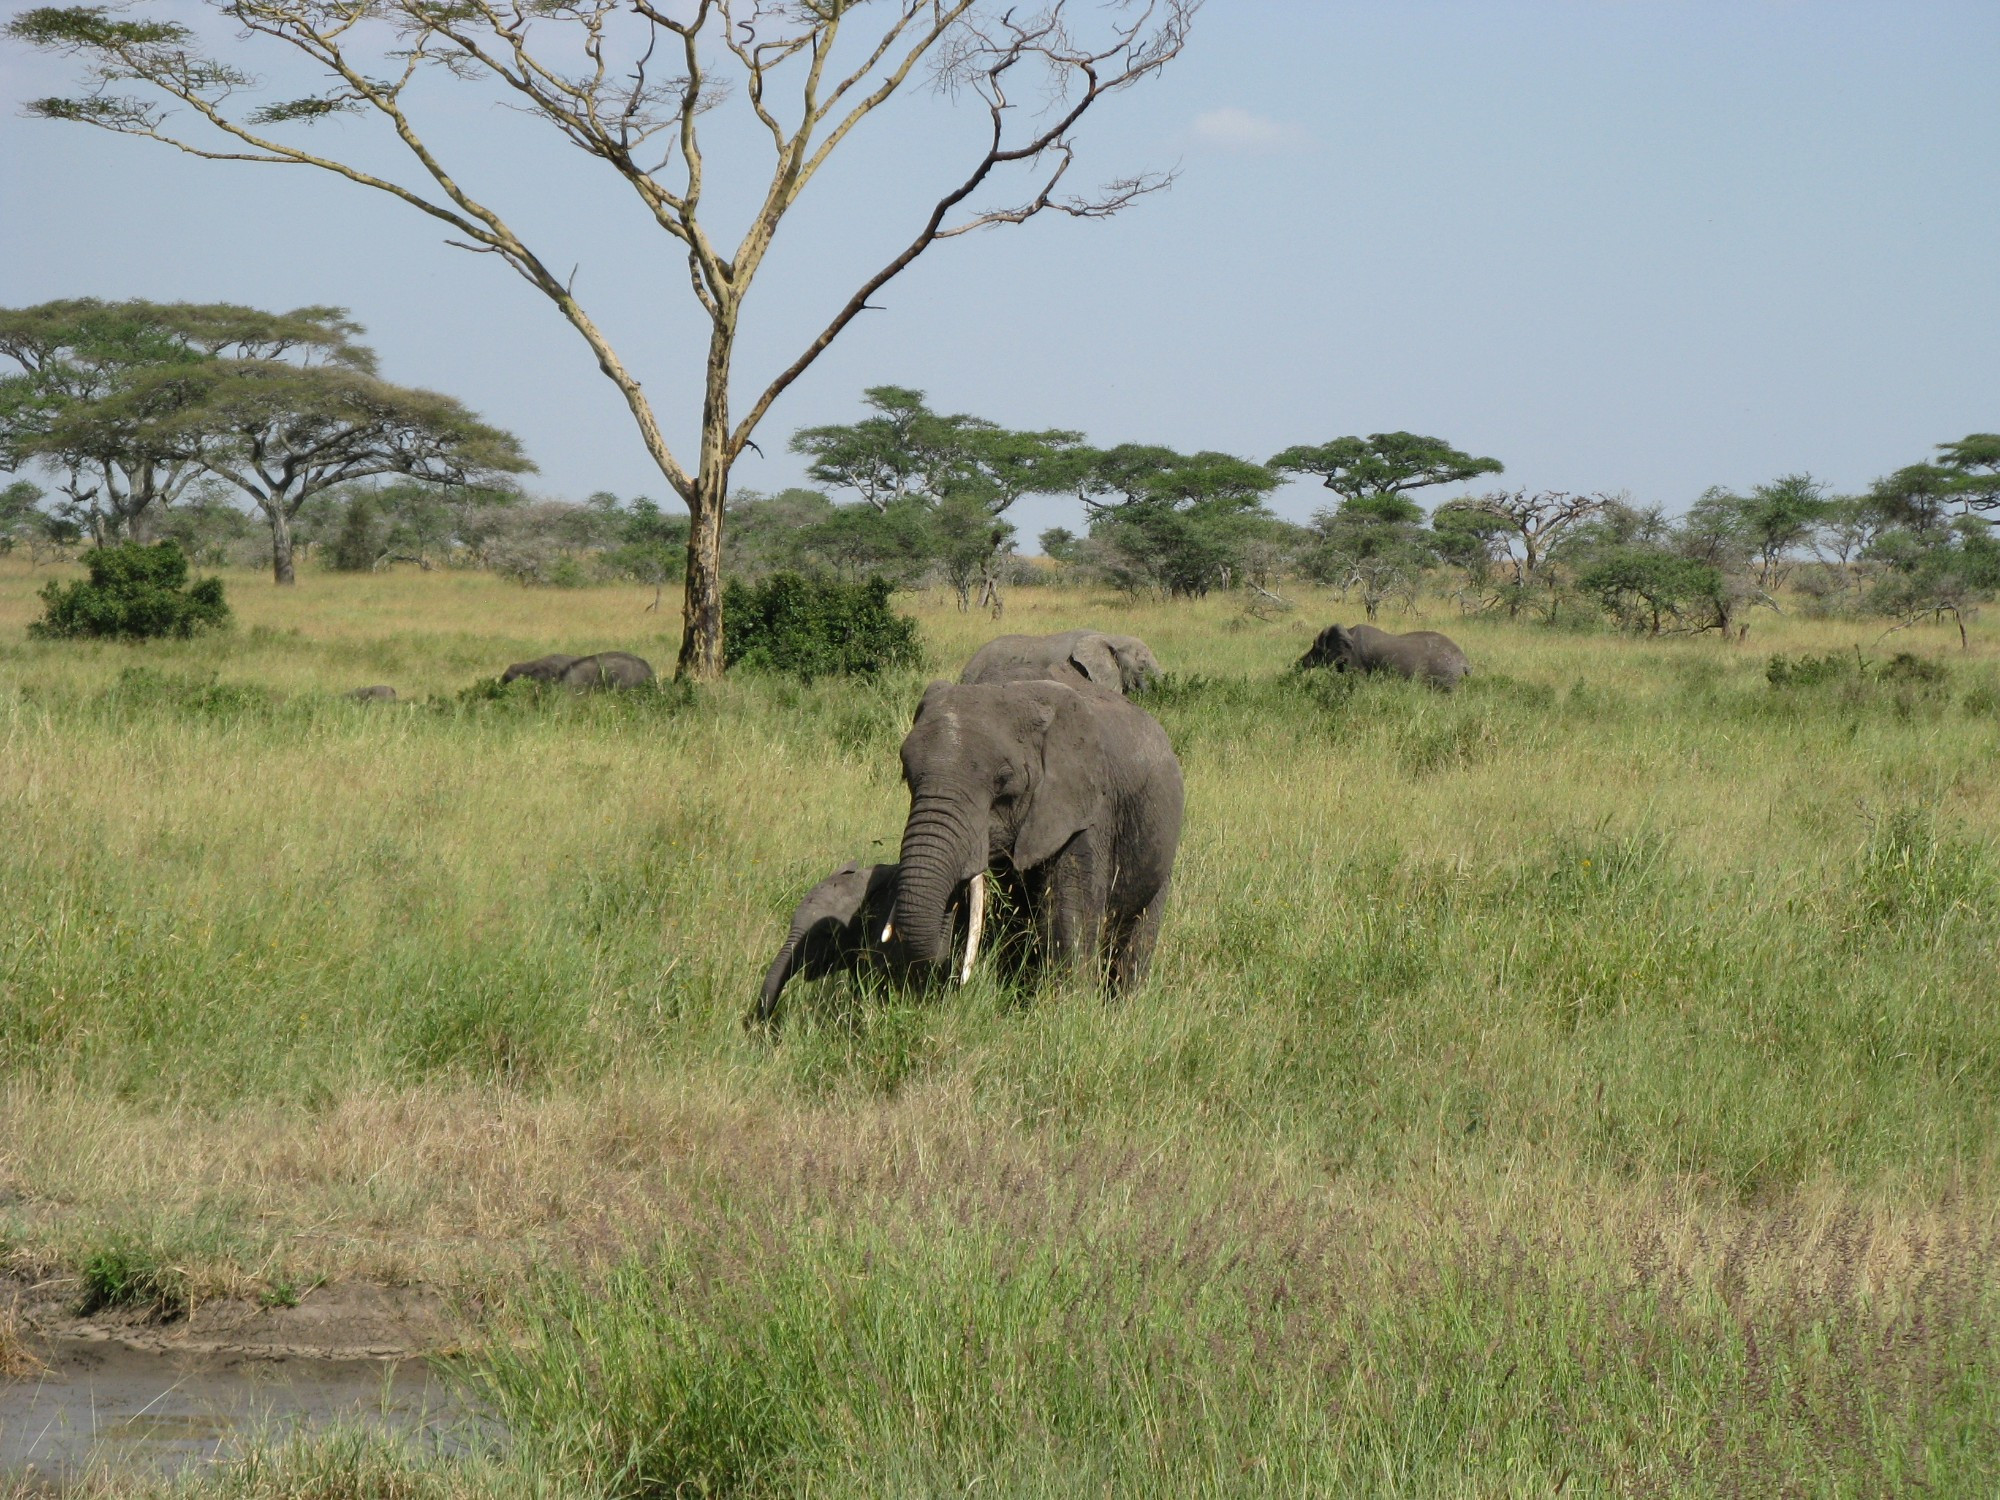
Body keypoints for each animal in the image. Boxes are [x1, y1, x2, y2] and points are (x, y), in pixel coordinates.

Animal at [896, 684, 1184, 1000]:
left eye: (1003, 780)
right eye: (906, 774)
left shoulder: (1086, 810)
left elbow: (1070, 912)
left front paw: (1069, 1006)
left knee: (1139, 932)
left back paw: (1125, 1004)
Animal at [1296, 624, 1472, 692]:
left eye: (1317, 648)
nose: (1298, 664)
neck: (1347, 632)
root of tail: (1464, 661)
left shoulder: (1357, 662)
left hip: (1446, 676)